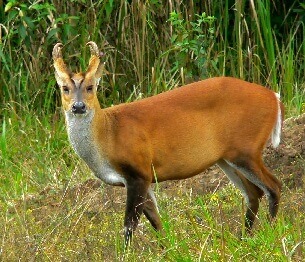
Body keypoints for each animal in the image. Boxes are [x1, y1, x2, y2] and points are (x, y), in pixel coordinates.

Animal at [51, 41, 282, 246]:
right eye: (64, 88)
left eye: (90, 87)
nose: (78, 107)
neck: (108, 134)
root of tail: (274, 97)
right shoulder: (139, 179)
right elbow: (156, 222)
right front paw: (168, 249)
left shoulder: (138, 171)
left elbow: (129, 225)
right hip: (227, 157)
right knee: (254, 193)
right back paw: (243, 238)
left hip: (246, 148)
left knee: (273, 186)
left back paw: (270, 234)